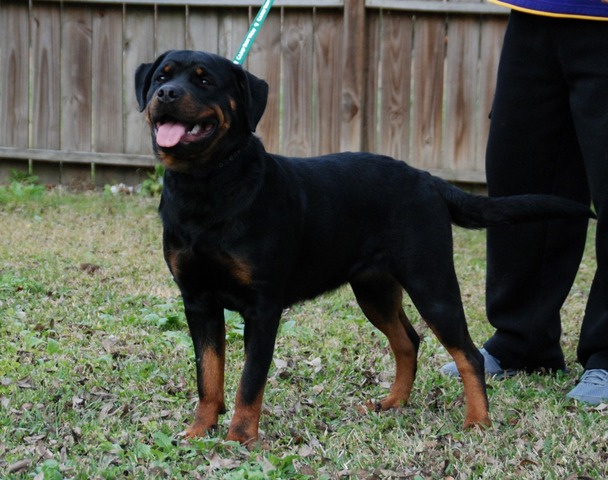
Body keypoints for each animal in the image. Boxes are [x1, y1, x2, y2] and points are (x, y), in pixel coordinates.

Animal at [135, 49, 596, 446]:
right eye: (161, 76)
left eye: (204, 81)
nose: (166, 94)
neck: (207, 185)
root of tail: (428, 179)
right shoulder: (198, 301)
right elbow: (208, 375)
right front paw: (199, 430)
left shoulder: (262, 308)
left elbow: (250, 382)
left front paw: (238, 438)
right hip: (374, 289)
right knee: (408, 341)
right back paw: (393, 402)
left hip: (432, 283)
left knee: (468, 354)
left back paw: (478, 421)